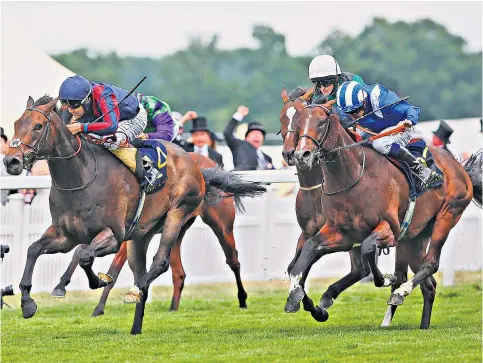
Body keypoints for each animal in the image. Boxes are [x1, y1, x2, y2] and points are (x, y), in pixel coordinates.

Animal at [52, 154, 250, 316]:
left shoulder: (125, 236)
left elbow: (113, 271)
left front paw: (99, 308)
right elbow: (80, 251)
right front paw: (62, 286)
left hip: (222, 225)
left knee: (233, 260)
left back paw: (242, 299)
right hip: (177, 230)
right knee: (179, 272)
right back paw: (173, 308)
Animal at [288, 104, 480, 328]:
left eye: (321, 122)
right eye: (298, 124)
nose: (301, 155)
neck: (352, 177)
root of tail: (458, 165)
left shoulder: (388, 228)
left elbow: (368, 249)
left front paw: (386, 279)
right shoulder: (341, 234)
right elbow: (308, 250)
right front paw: (296, 296)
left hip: (447, 215)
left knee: (430, 264)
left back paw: (400, 292)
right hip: (414, 237)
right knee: (429, 284)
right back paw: (418, 324)